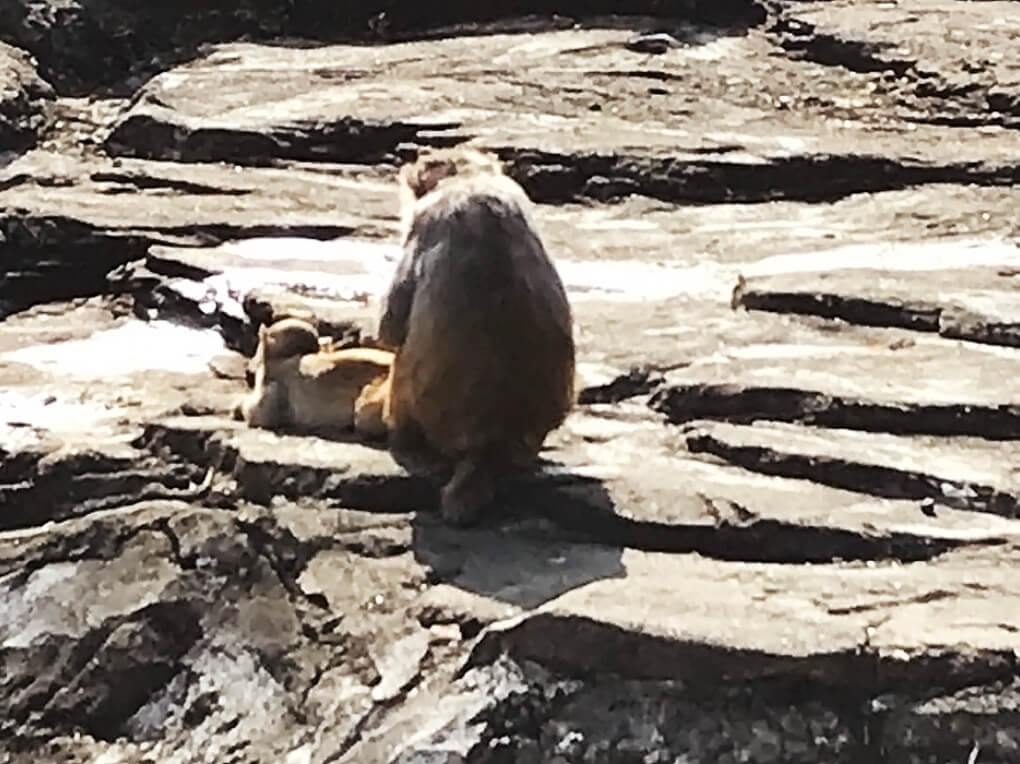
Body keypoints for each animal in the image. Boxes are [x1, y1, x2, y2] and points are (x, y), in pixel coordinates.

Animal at [234, 314, 393, 438]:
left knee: (365, 413)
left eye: (257, 347)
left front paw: (238, 406)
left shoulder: (277, 381)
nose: (248, 370)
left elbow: (260, 414)